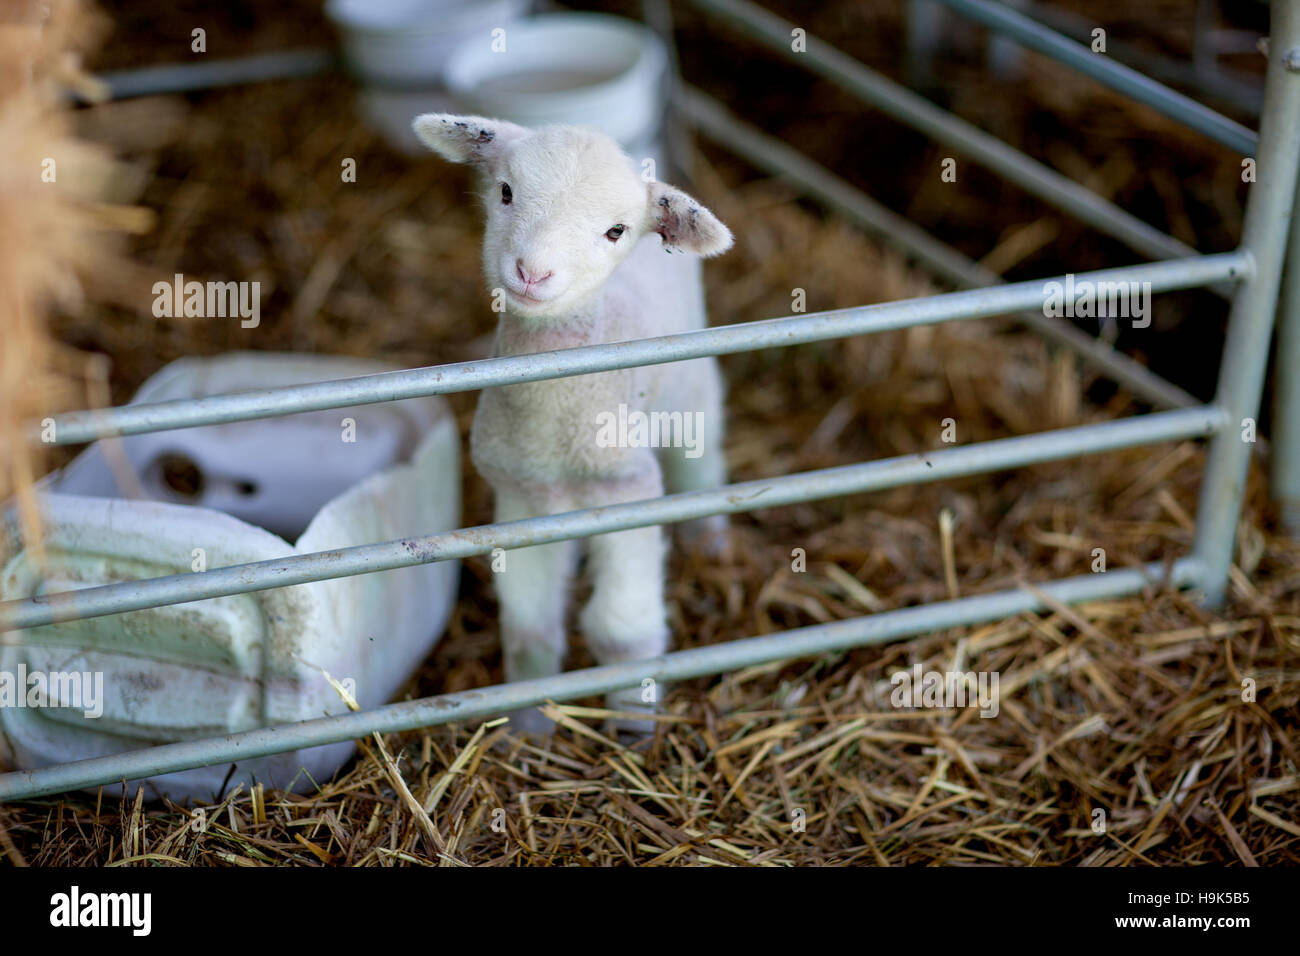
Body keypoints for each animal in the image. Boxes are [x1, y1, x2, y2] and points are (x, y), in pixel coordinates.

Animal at [412, 112, 733, 734]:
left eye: (615, 231)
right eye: (505, 192)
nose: (532, 272)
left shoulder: (628, 492)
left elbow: (622, 629)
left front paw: (634, 724)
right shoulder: (522, 500)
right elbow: (530, 628)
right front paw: (526, 728)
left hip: (692, 389)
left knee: (701, 461)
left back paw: (711, 541)